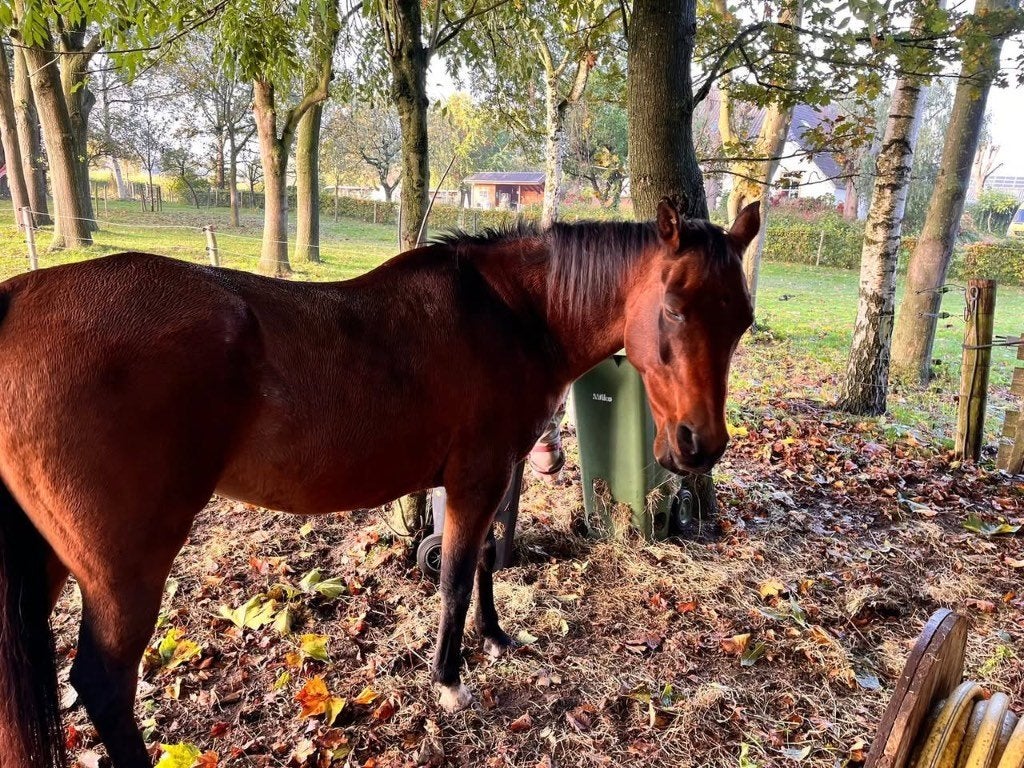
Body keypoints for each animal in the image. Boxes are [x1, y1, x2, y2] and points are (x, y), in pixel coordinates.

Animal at [0, 197, 758, 768]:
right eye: (675, 307)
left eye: (743, 320)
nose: (700, 446)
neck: (512, 312)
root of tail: (20, 299)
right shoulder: (479, 477)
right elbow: (455, 577)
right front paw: (449, 682)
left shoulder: (483, 478)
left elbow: (483, 563)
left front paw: (495, 638)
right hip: (123, 567)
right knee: (104, 685)